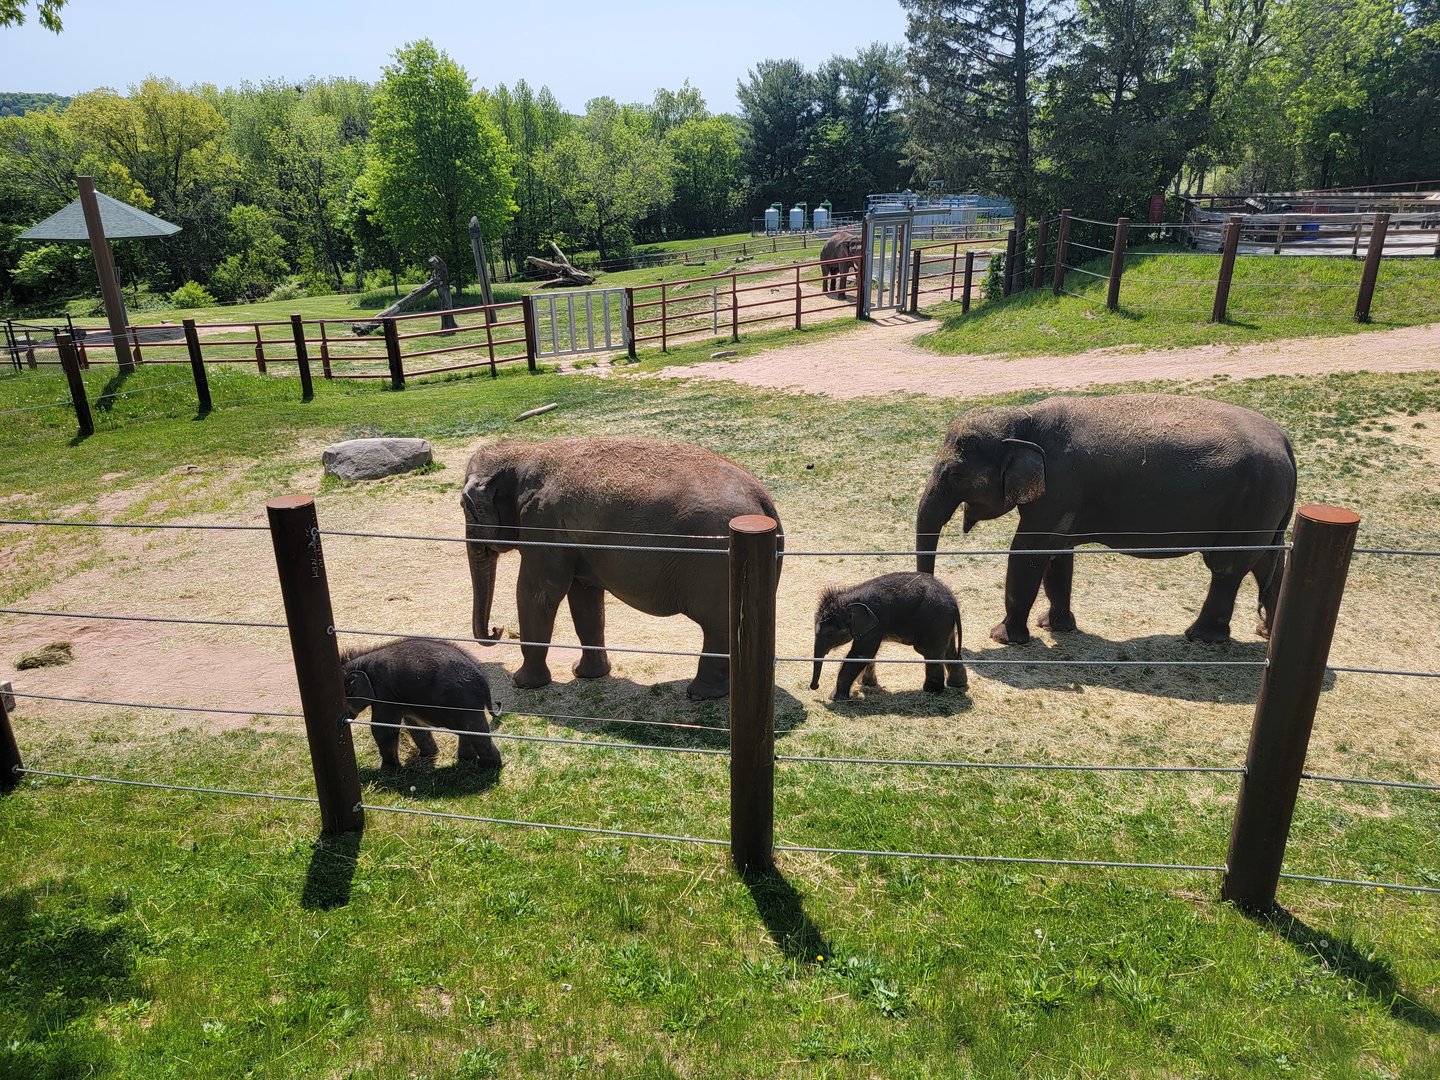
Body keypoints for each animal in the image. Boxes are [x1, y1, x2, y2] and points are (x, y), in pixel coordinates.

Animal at [462, 436, 783, 700]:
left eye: (467, 508)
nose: (497, 629)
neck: (524, 451)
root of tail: (765, 500)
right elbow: (585, 598)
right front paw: (587, 675)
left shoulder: (542, 524)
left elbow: (539, 593)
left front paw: (523, 683)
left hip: (715, 561)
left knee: (718, 626)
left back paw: (700, 694)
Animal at [811, 572, 967, 700]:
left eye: (829, 634)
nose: (814, 687)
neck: (849, 597)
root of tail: (954, 602)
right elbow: (868, 655)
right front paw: (867, 684)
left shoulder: (875, 624)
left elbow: (860, 654)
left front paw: (835, 698)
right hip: (944, 624)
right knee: (949, 652)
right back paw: (957, 685)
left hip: (935, 622)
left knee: (930, 654)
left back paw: (931, 691)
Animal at [914, 394, 1296, 646]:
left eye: (955, 475)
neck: (1024, 416)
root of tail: (1286, 442)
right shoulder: (1064, 501)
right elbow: (1058, 555)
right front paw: (1054, 627)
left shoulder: (1060, 487)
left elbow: (1028, 551)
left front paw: (1004, 638)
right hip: (1266, 509)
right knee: (1269, 562)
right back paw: (1266, 633)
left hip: (1252, 503)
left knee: (1228, 566)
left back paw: (1201, 637)